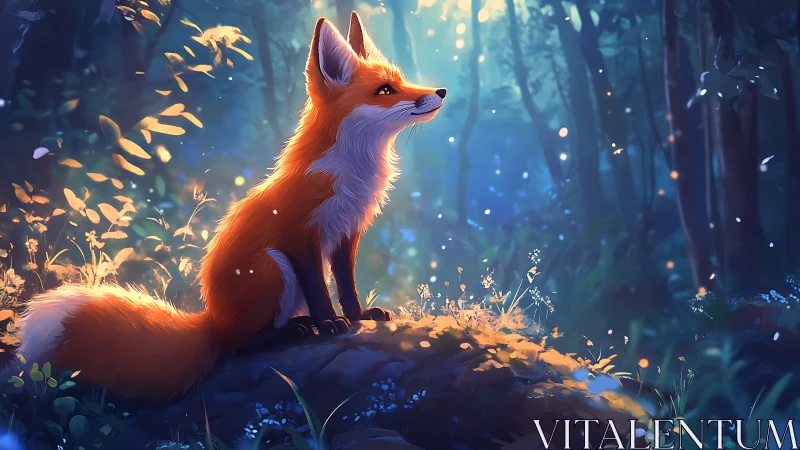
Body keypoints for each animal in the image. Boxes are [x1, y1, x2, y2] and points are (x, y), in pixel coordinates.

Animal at [14, 12, 445, 401]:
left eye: (400, 81)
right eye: (386, 90)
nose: (440, 92)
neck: (349, 170)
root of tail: (213, 318)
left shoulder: (346, 233)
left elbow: (347, 285)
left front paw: (358, 317)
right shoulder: (300, 236)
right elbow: (321, 289)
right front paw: (330, 324)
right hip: (271, 265)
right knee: (238, 344)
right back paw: (293, 330)